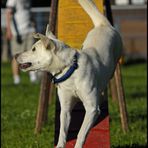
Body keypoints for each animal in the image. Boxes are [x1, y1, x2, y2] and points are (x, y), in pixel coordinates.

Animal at [15, 0, 122, 148]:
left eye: (33, 49)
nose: (15, 55)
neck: (70, 70)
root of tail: (103, 25)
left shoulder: (91, 109)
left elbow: (81, 133)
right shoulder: (65, 108)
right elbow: (62, 132)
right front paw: (60, 145)